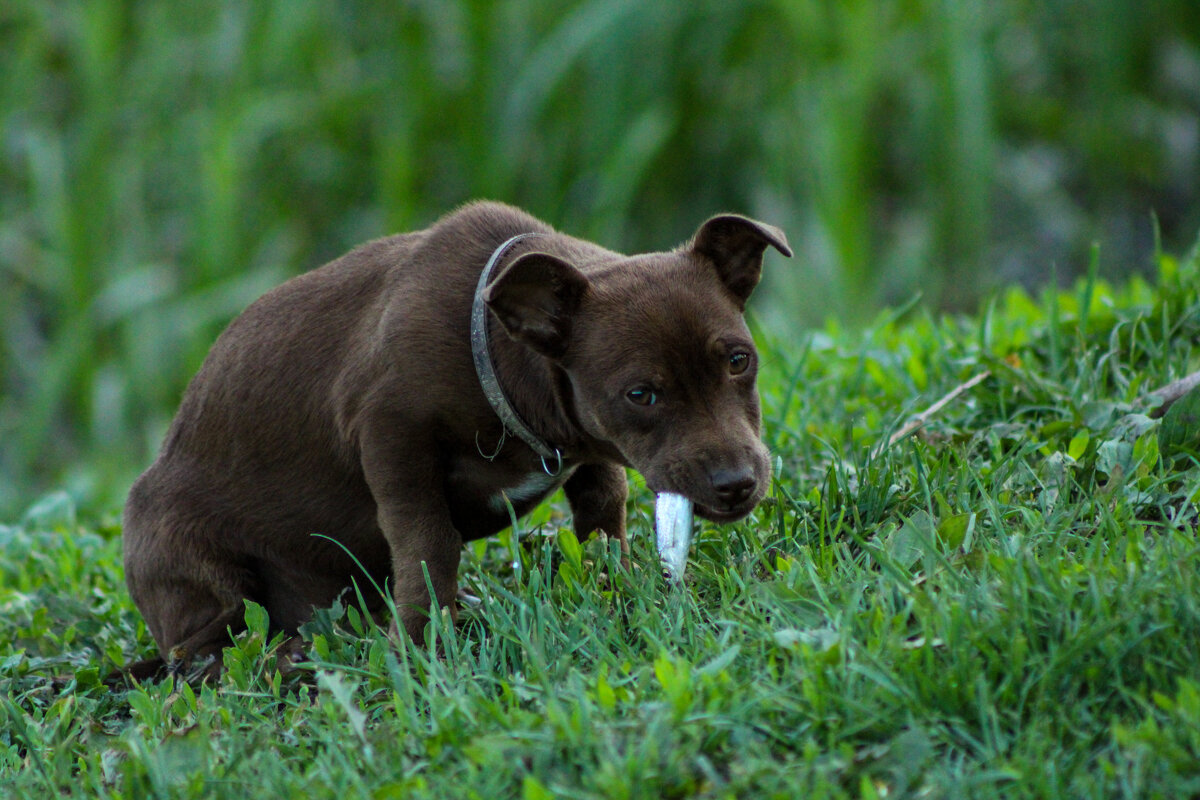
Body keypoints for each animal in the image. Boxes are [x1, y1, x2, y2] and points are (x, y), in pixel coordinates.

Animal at [121, 201, 792, 676]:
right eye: (641, 395)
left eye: (740, 360)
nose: (737, 485)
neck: (495, 350)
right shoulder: (388, 436)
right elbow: (427, 541)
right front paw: (421, 645)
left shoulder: (588, 451)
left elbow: (604, 510)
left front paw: (616, 586)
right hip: (198, 575)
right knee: (208, 653)